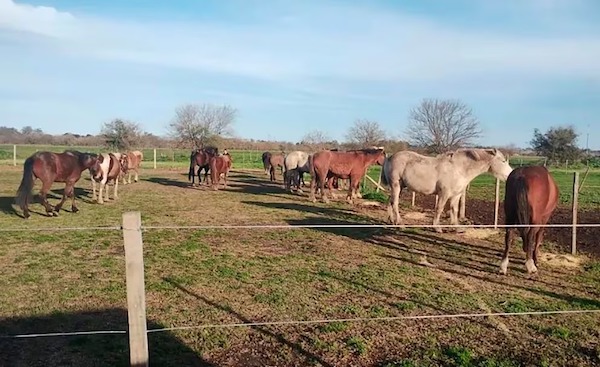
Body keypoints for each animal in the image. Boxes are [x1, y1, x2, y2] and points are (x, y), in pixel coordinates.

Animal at [382, 147, 512, 231]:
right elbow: (439, 208)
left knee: (390, 201)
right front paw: (437, 227)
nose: (510, 175)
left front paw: (456, 227)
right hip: (396, 185)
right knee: (395, 203)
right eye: (503, 161)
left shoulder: (456, 194)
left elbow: (454, 209)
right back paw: (400, 223)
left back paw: (391, 221)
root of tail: (390, 157)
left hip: (399, 187)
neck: (459, 168)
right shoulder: (444, 193)